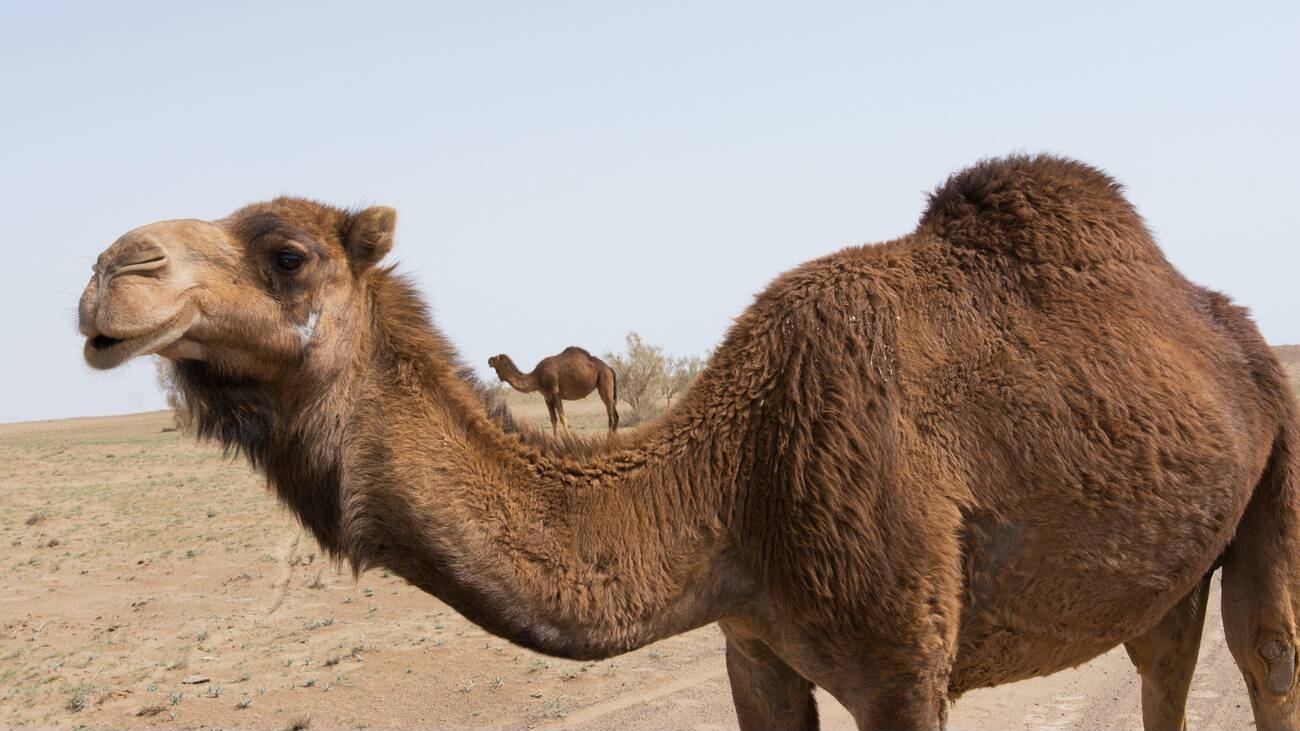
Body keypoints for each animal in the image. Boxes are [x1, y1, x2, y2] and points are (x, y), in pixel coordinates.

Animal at [488, 345, 618, 431]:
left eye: (495, 358)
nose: (489, 360)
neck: (537, 377)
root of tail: (610, 369)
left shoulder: (555, 393)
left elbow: (563, 419)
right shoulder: (547, 397)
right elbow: (553, 420)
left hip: (605, 383)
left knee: (610, 415)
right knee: (615, 415)